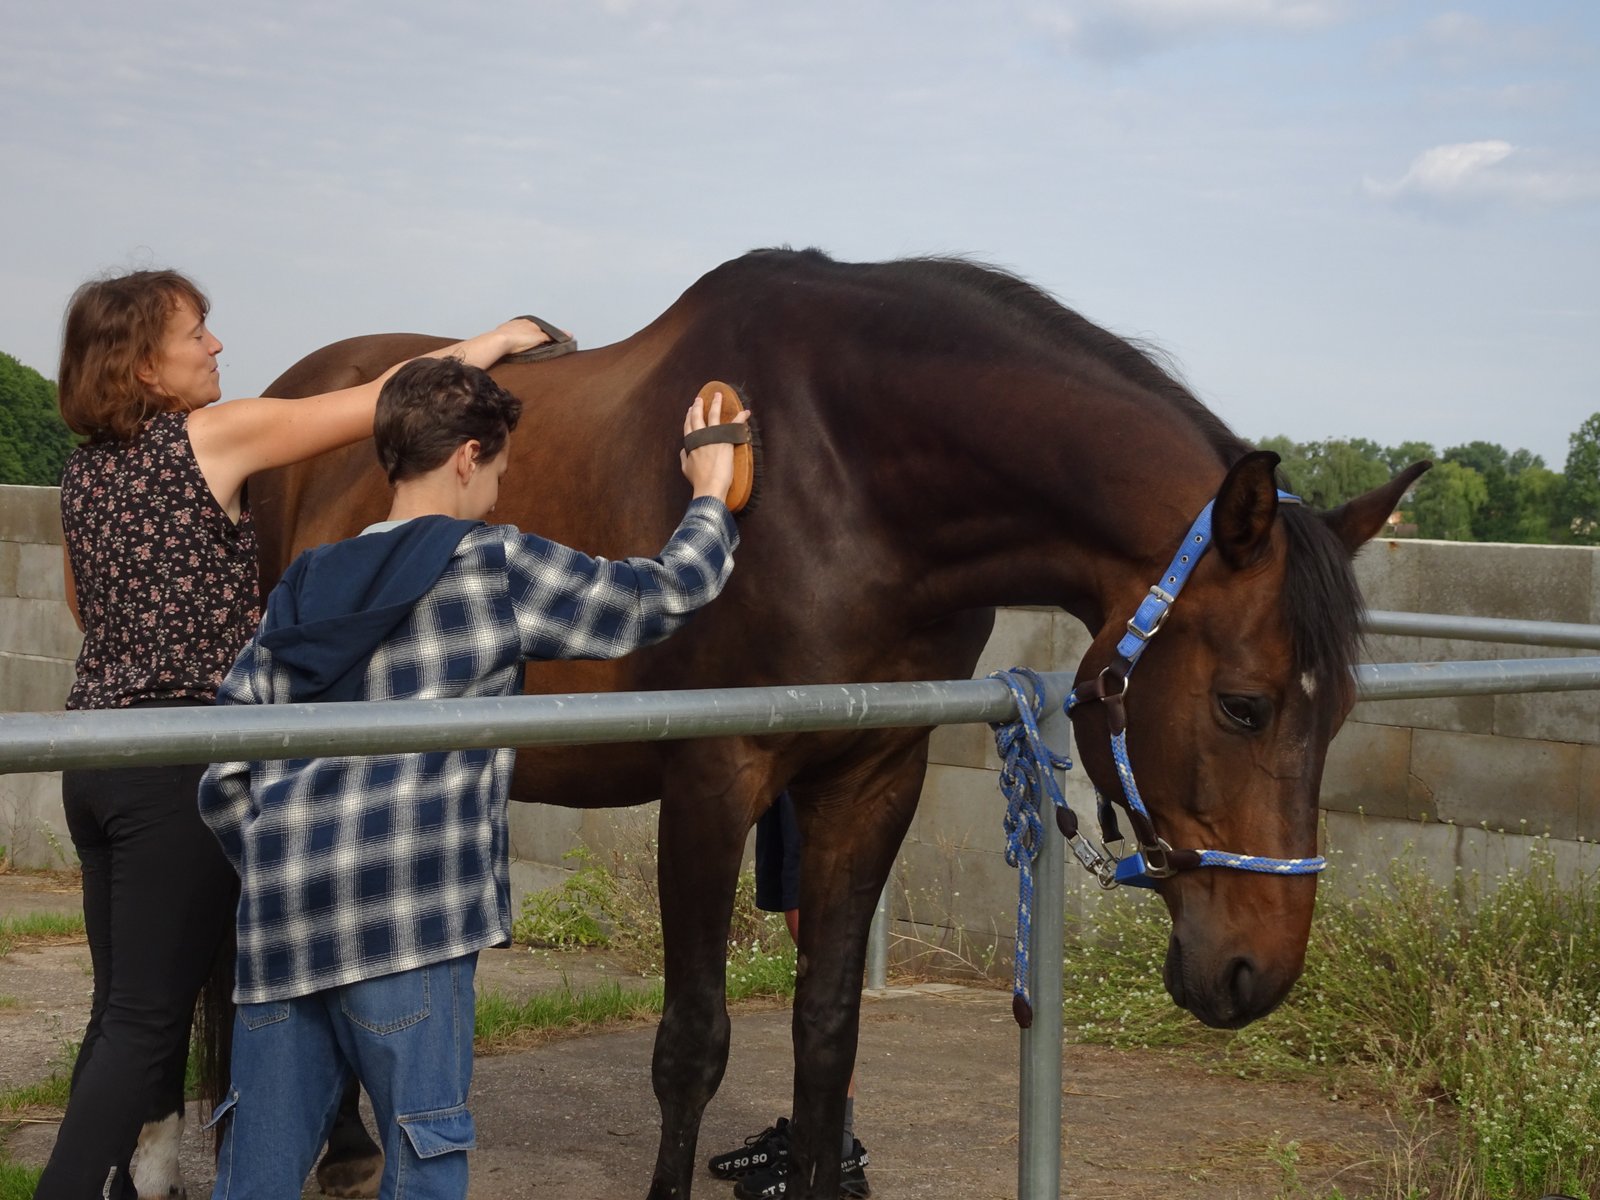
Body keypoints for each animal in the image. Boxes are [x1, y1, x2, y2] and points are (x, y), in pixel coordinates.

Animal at [226, 247, 1422, 1199]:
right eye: (1242, 704)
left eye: (1340, 714)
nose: (1255, 975)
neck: (845, 476)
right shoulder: (713, 779)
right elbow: (692, 1043)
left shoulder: (871, 776)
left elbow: (826, 1033)